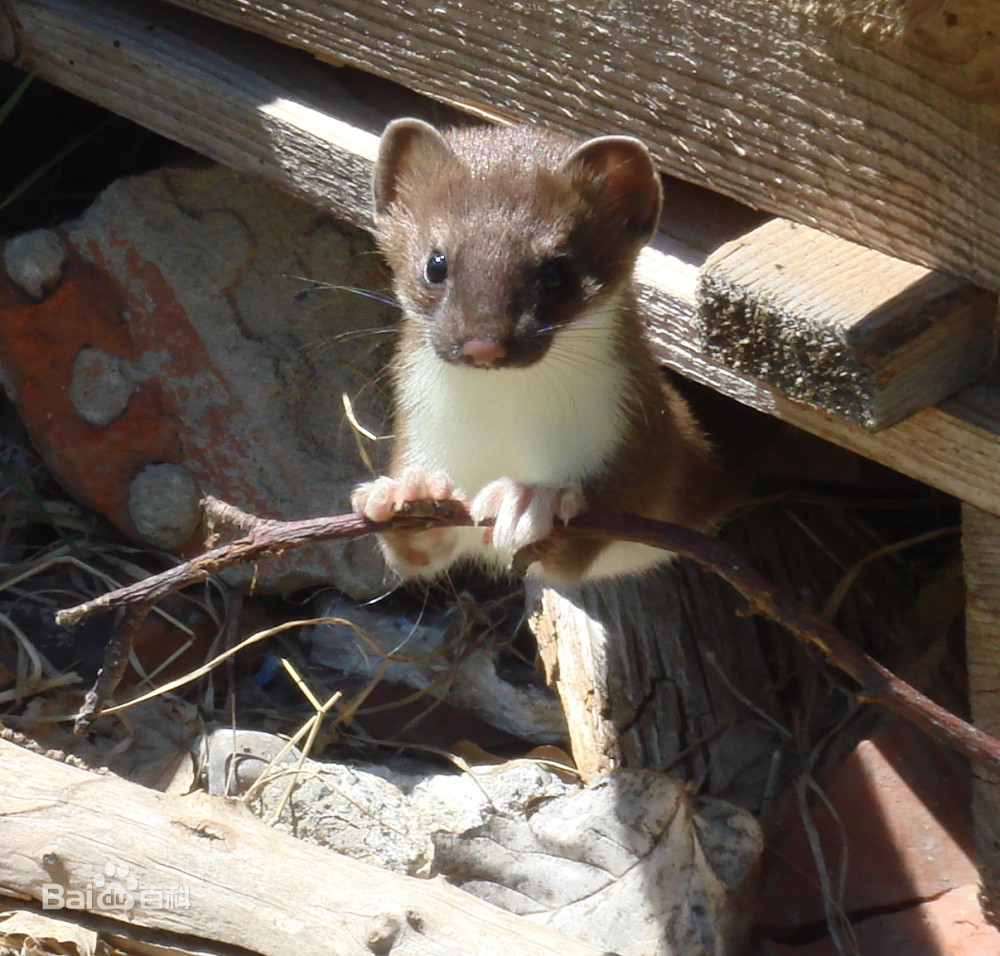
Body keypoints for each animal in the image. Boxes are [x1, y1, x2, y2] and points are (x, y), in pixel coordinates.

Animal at [354, 116, 736, 588]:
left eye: (557, 273)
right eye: (435, 263)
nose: (484, 343)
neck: (506, 429)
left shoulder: (644, 447)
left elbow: (582, 541)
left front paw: (533, 500)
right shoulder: (424, 437)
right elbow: (415, 556)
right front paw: (407, 493)